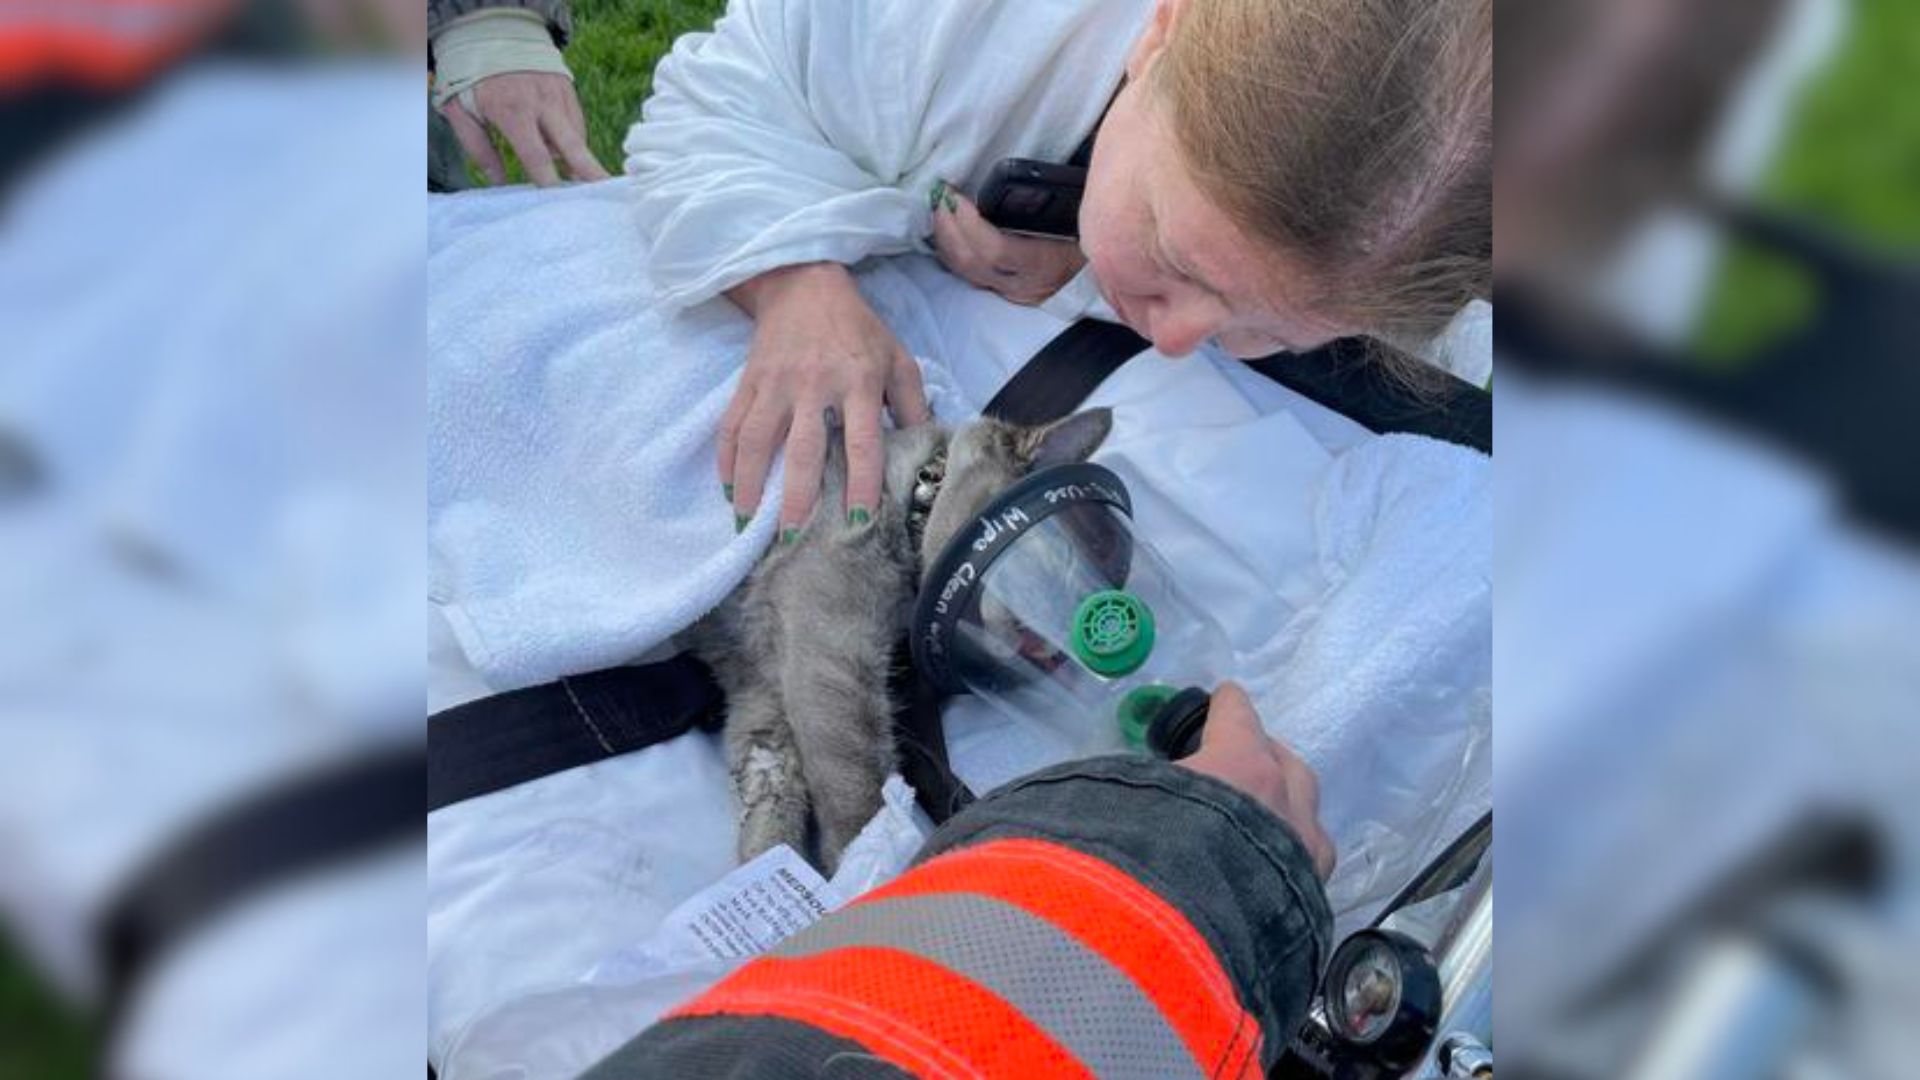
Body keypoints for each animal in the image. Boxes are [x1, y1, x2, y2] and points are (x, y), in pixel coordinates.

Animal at [687, 407, 1113, 868]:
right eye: (1048, 561)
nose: (1050, 652)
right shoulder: (830, 652)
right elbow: (860, 794)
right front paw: (868, 866)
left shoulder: (761, 690)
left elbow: (770, 801)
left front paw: (786, 871)